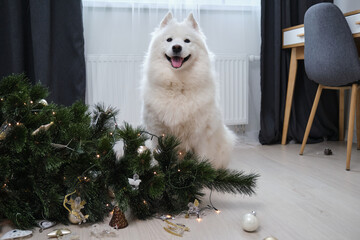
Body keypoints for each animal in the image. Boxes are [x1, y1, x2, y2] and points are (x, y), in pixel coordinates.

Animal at [141, 12, 236, 169]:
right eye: (169, 39)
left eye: (187, 41)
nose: (176, 47)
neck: (178, 85)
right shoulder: (157, 131)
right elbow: (157, 155)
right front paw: (156, 171)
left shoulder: (201, 133)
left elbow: (202, 159)